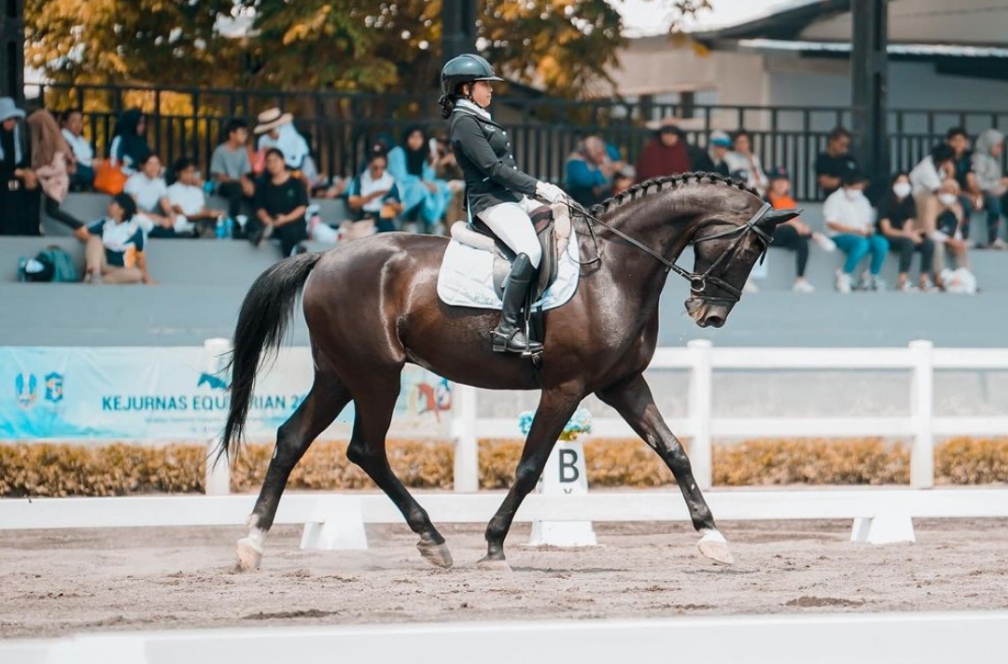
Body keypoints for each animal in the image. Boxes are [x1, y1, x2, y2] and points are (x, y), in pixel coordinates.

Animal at [220, 172, 794, 572]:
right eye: (752, 247)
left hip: (340, 375)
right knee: (365, 448)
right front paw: (495, 542)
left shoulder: (621, 384)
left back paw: (251, 545)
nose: (709, 315)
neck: (615, 266)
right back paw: (432, 539)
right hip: (375, 376)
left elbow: (674, 451)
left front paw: (713, 538)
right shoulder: (565, 387)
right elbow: (531, 466)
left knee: (294, 439)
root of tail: (324, 258)